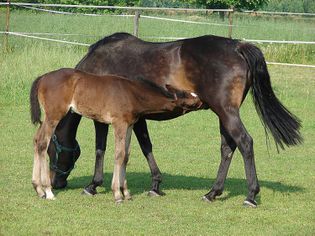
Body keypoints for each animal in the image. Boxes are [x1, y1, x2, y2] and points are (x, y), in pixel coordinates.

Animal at [30, 68, 202, 203]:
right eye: (190, 99)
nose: (202, 100)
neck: (132, 94)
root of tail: (43, 77)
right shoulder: (119, 124)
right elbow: (119, 155)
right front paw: (117, 194)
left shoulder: (129, 125)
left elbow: (126, 155)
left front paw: (126, 193)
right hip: (54, 115)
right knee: (43, 142)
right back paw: (48, 191)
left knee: (36, 140)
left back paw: (38, 189)